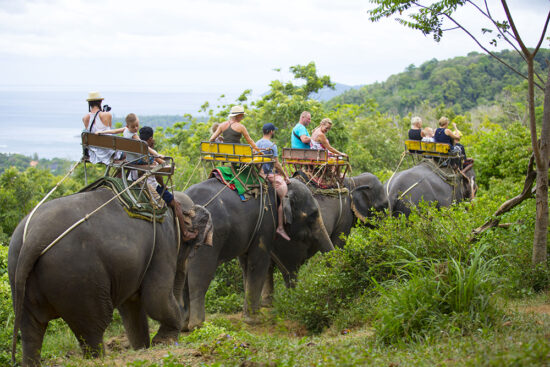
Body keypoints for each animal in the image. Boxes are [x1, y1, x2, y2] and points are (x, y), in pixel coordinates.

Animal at [10, 188, 216, 366]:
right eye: (196, 246)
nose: (186, 327)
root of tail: (34, 237)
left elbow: (131, 306)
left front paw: (143, 348)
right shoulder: (163, 243)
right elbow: (156, 297)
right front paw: (163, 343)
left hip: (24, 276)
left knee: (31, 330)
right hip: (79, 276)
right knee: (93, 326)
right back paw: (100, 358)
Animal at [183, 176, 334, 330]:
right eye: (312, 215)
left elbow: (246, 265)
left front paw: (249, 316)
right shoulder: (266, 224)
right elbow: (259, 262)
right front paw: (254, 320)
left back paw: (184, 326)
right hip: (206, 238)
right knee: (200, 275)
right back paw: (198, 326)